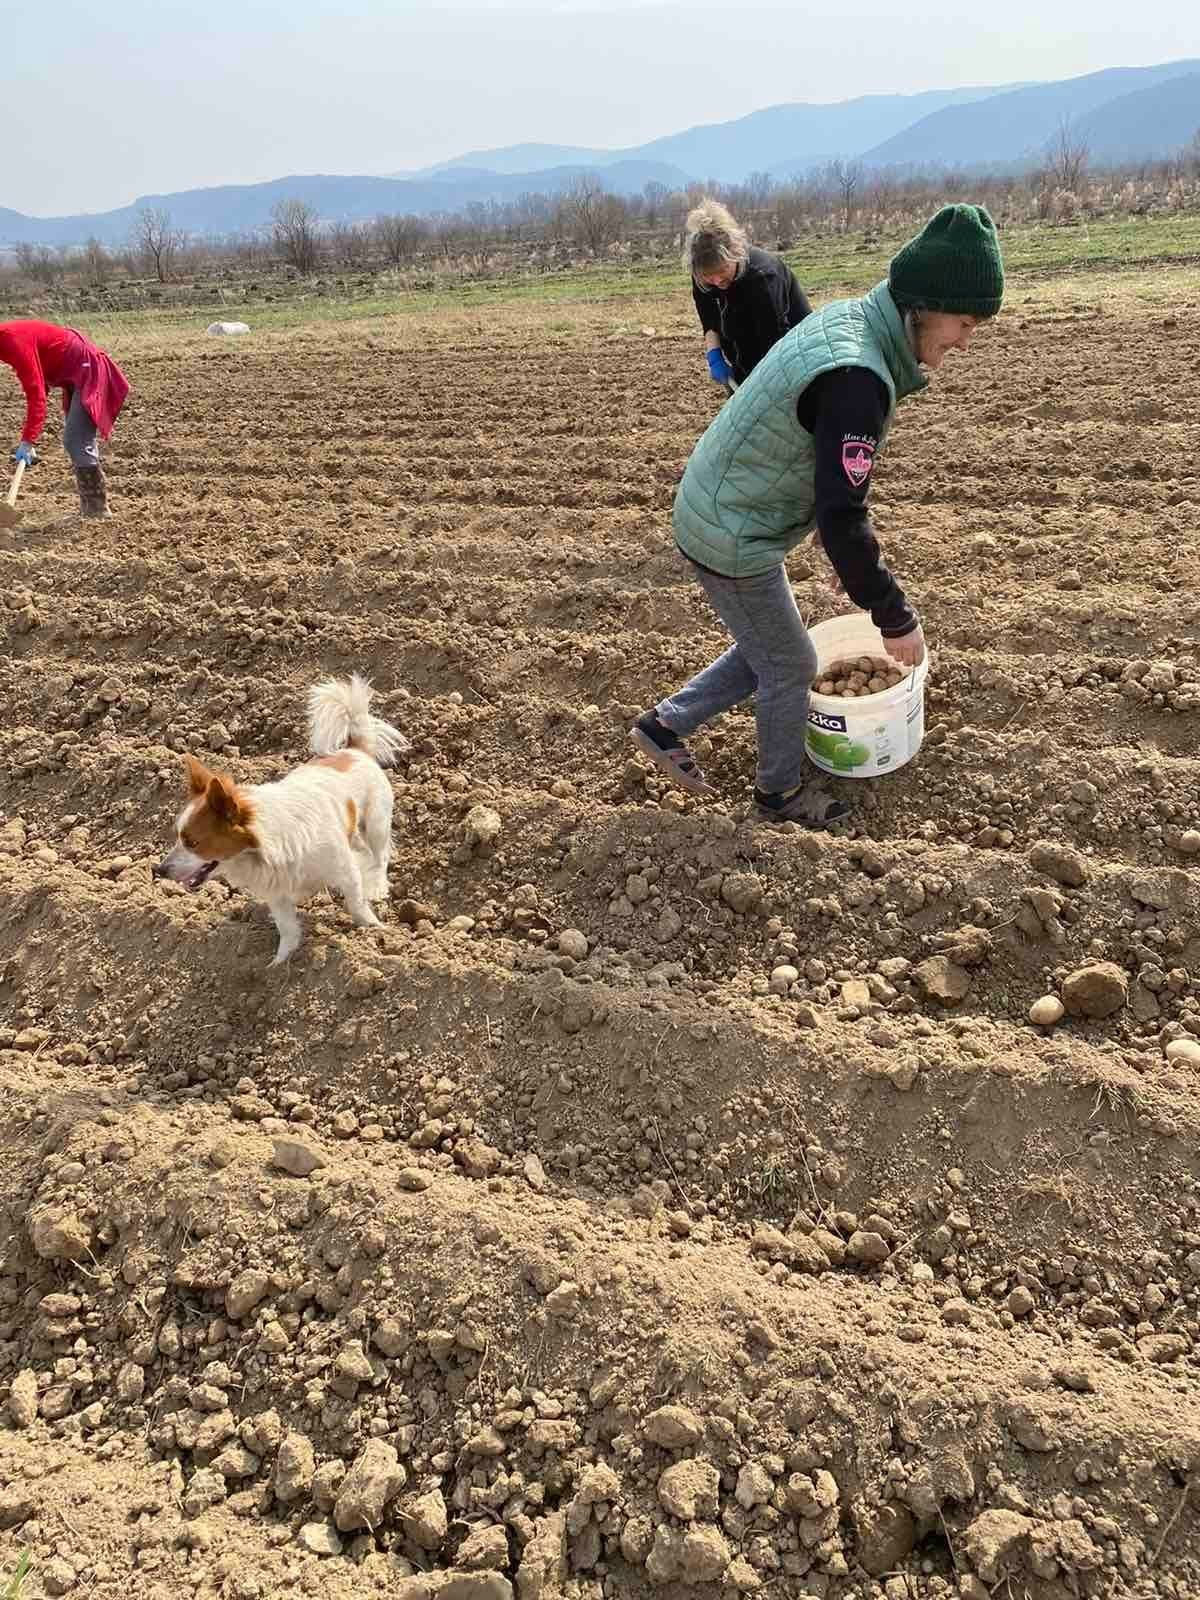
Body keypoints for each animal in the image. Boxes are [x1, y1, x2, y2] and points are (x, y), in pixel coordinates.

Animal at [155, 675, 412, 960]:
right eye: (177, 838)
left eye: (192, 842)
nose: (159, 870)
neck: (261, 846)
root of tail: (356, 750)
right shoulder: (276, 893)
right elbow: (287, 927)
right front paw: (282, 961)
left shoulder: (345, 871)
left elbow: (356, 903)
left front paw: (372, 929)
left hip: (376, 823)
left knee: (380, 856)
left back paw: (378, 886)